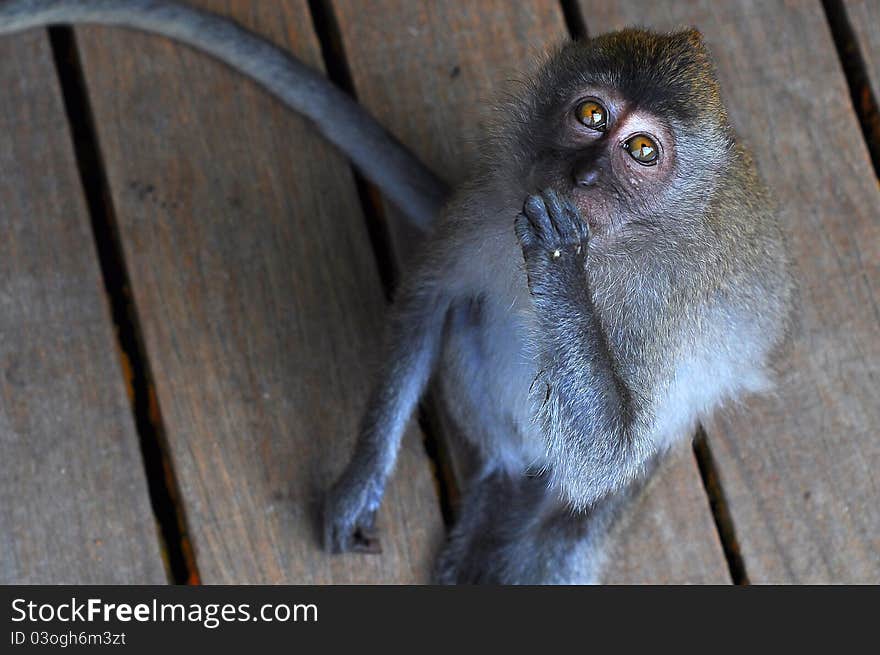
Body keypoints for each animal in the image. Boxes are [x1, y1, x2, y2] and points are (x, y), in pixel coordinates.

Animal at [0, 2, 796, 584]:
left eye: (642, 151)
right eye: (592, 115)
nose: (586, 177)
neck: (618, 238)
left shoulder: (667, 305)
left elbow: (613, 446)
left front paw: (558, 266)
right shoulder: (488, 202)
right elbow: (429, 298)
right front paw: (361, 478)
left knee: (593, 502)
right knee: (474, 328)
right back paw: (499, 488)